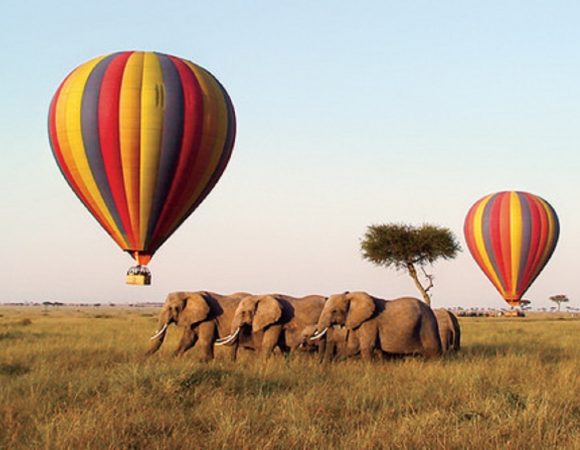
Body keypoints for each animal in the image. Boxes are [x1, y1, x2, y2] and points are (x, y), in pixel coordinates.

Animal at [312, 292, 440, 362]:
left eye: (334, 311)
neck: (351, 296)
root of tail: (431, 311)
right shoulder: (358, 322)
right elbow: (352, 347)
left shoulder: (370, 322)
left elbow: (366, 347)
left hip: (427, 325)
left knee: (434, 353)